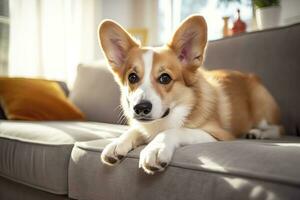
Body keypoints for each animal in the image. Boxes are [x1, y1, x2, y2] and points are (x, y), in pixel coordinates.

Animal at [97, 14, 282, 174]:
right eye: (132, 77)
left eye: (165, 78)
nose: (140, 108)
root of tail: (251, 76)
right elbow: (134, 131)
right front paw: (117, 143)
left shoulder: (219, 134)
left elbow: (177, 130)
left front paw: (155, 148)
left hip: (260, 107)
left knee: (278, 128)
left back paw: (258, 133)